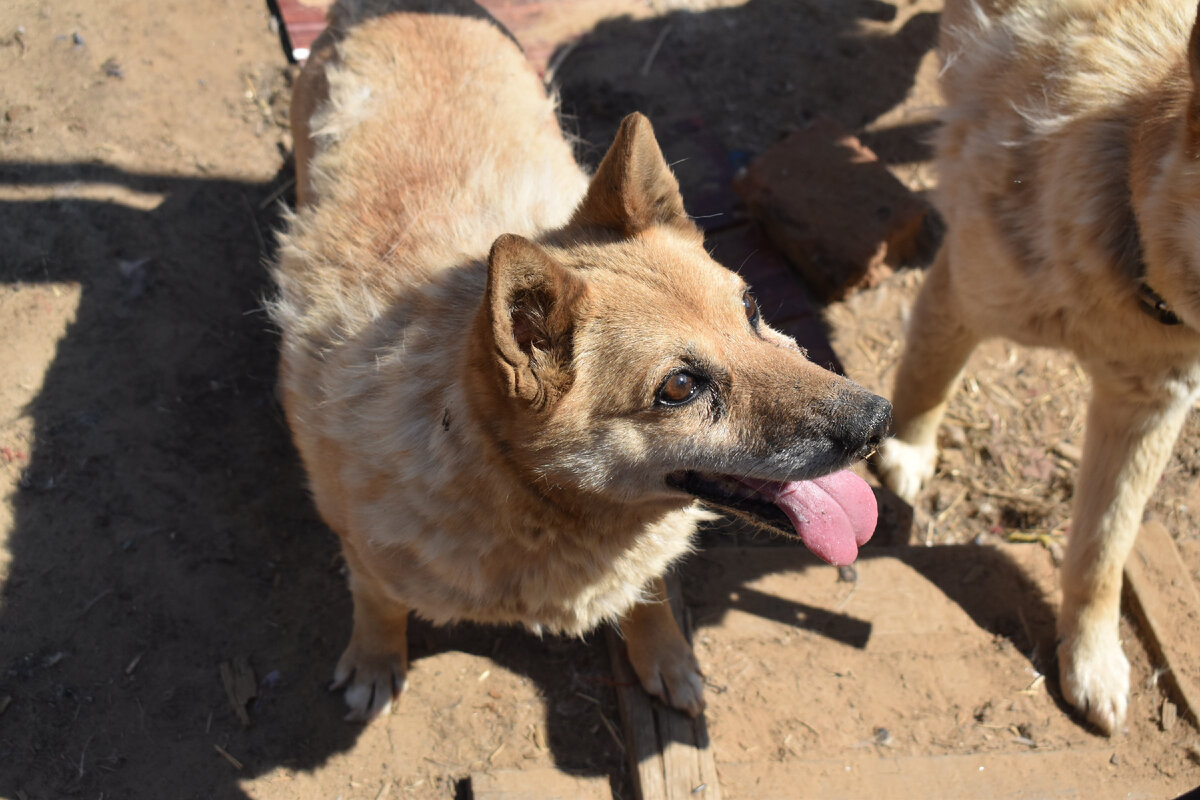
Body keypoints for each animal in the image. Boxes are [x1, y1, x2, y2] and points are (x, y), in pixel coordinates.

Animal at [272, 0, 892, 724]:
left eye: (752, 309)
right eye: (679, 387)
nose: (880, 422)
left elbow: (650, 594)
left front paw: (665, 654)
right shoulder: (365, 552)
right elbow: (377, 603)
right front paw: (375, 660)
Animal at [878, 0, 1200, 738]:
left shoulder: (1149, 407)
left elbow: (1102, 551)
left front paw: (1091, 658)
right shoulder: (963, 291)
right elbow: (924, 377)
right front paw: (904, 452)